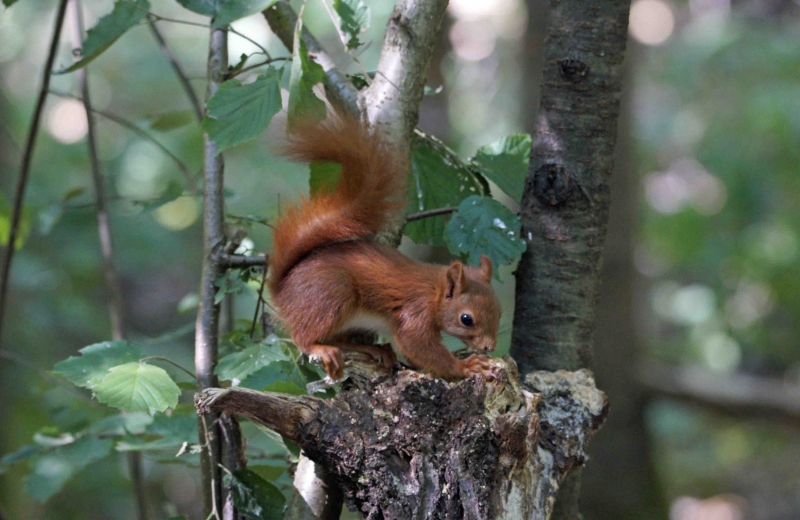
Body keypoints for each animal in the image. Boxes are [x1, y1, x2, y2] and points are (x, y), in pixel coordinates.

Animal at [268, 112, 500, 382]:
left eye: (499, 311)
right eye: (466, 319)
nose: (489, 347)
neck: (434, 291)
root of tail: (282, 289)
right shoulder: (416, 313)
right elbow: (419, 346)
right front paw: (466, 366)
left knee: (337, 338)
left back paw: (373, 348)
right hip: (331, 294)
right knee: (302, 338)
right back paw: (321, 348)